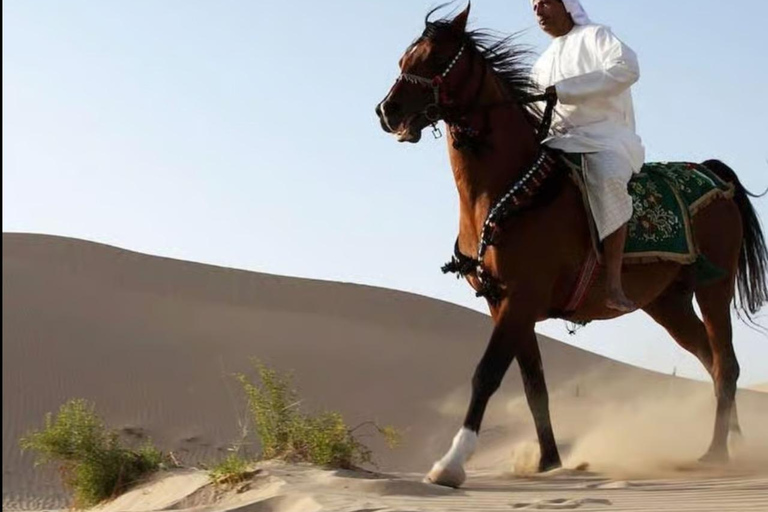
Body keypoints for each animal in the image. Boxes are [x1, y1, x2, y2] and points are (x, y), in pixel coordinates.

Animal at [375, 4, 767, 488]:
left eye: (434, 58)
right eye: (403, 59)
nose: (387, 111)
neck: (509, 189)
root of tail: (715, 175)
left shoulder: (521, 297)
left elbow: (487, 373)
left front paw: (451, 463)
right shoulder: (502, 301)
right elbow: (533, 384)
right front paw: (549, 461)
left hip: (714, 287)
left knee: (726, 363)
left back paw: (716, 453)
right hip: (667, 303)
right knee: (712, 362)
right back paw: (735, 443)